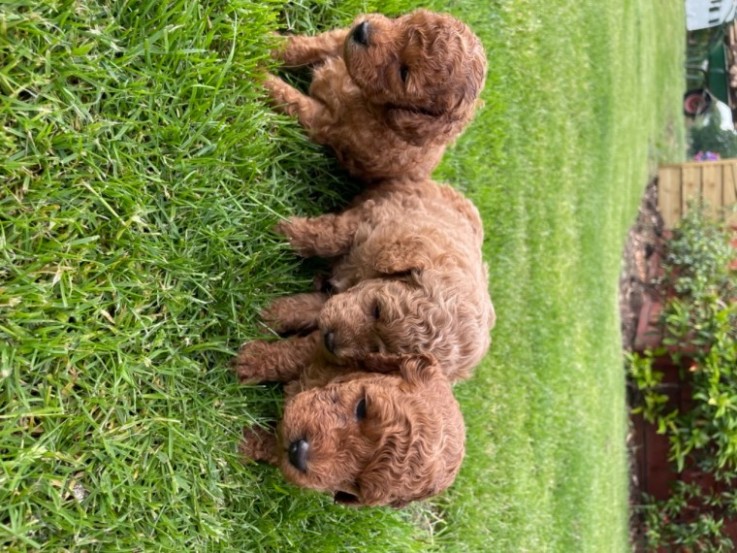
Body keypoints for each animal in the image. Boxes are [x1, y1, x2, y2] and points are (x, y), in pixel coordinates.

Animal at [231, 178, 494, 384]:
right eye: (377, 310)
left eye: (378, 352)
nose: (332, 340)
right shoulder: (370, 219)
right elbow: (327, 236)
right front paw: (281, 230)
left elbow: (302, 347)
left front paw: (254, 359)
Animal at [239, 356, 462, 506]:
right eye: (362, 407)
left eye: (357, 485)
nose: (298, 453)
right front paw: (251, 363)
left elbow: (273, 448)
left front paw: (244, 443)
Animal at [264, 9, 484, 181]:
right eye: (407, 22)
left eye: (404, 73)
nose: (362, 31)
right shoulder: (340, 40)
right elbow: (304, 46)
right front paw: (266, 40)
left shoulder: (325, 122)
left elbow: (291, 99)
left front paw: (260, 75)